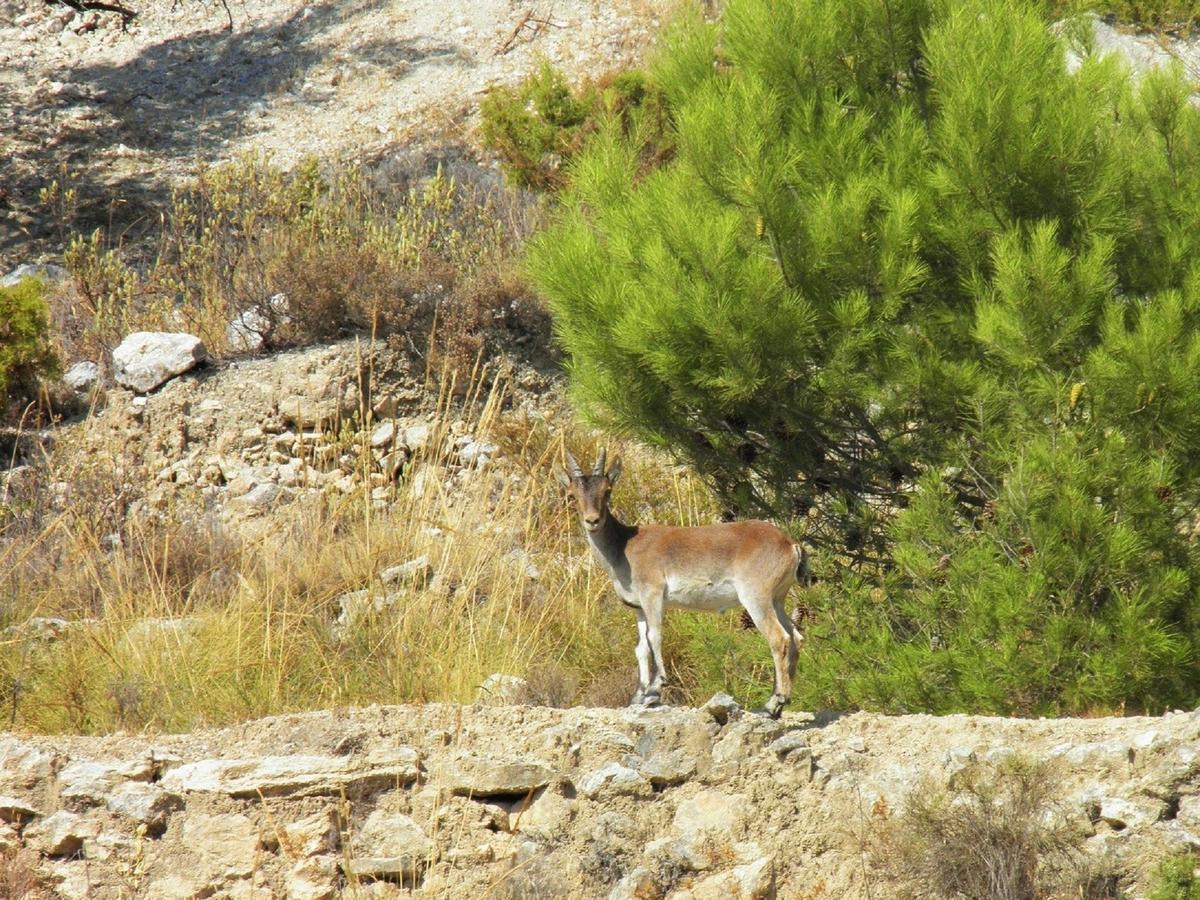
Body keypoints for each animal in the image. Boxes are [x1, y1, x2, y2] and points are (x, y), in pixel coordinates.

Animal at [561, 451, 806, 720]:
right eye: (572, 494)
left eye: (607, 490)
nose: (592, 521)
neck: (624, 547)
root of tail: (790, 545)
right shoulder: (639, 607)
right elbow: (641, 647)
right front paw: (639, 695)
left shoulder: (653, 594)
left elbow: (655, 636)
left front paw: (656, 688)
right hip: (777, 598)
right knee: (796, 637)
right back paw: (778, 704)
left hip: (756, 597)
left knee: (779, 638)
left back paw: (773, 702)